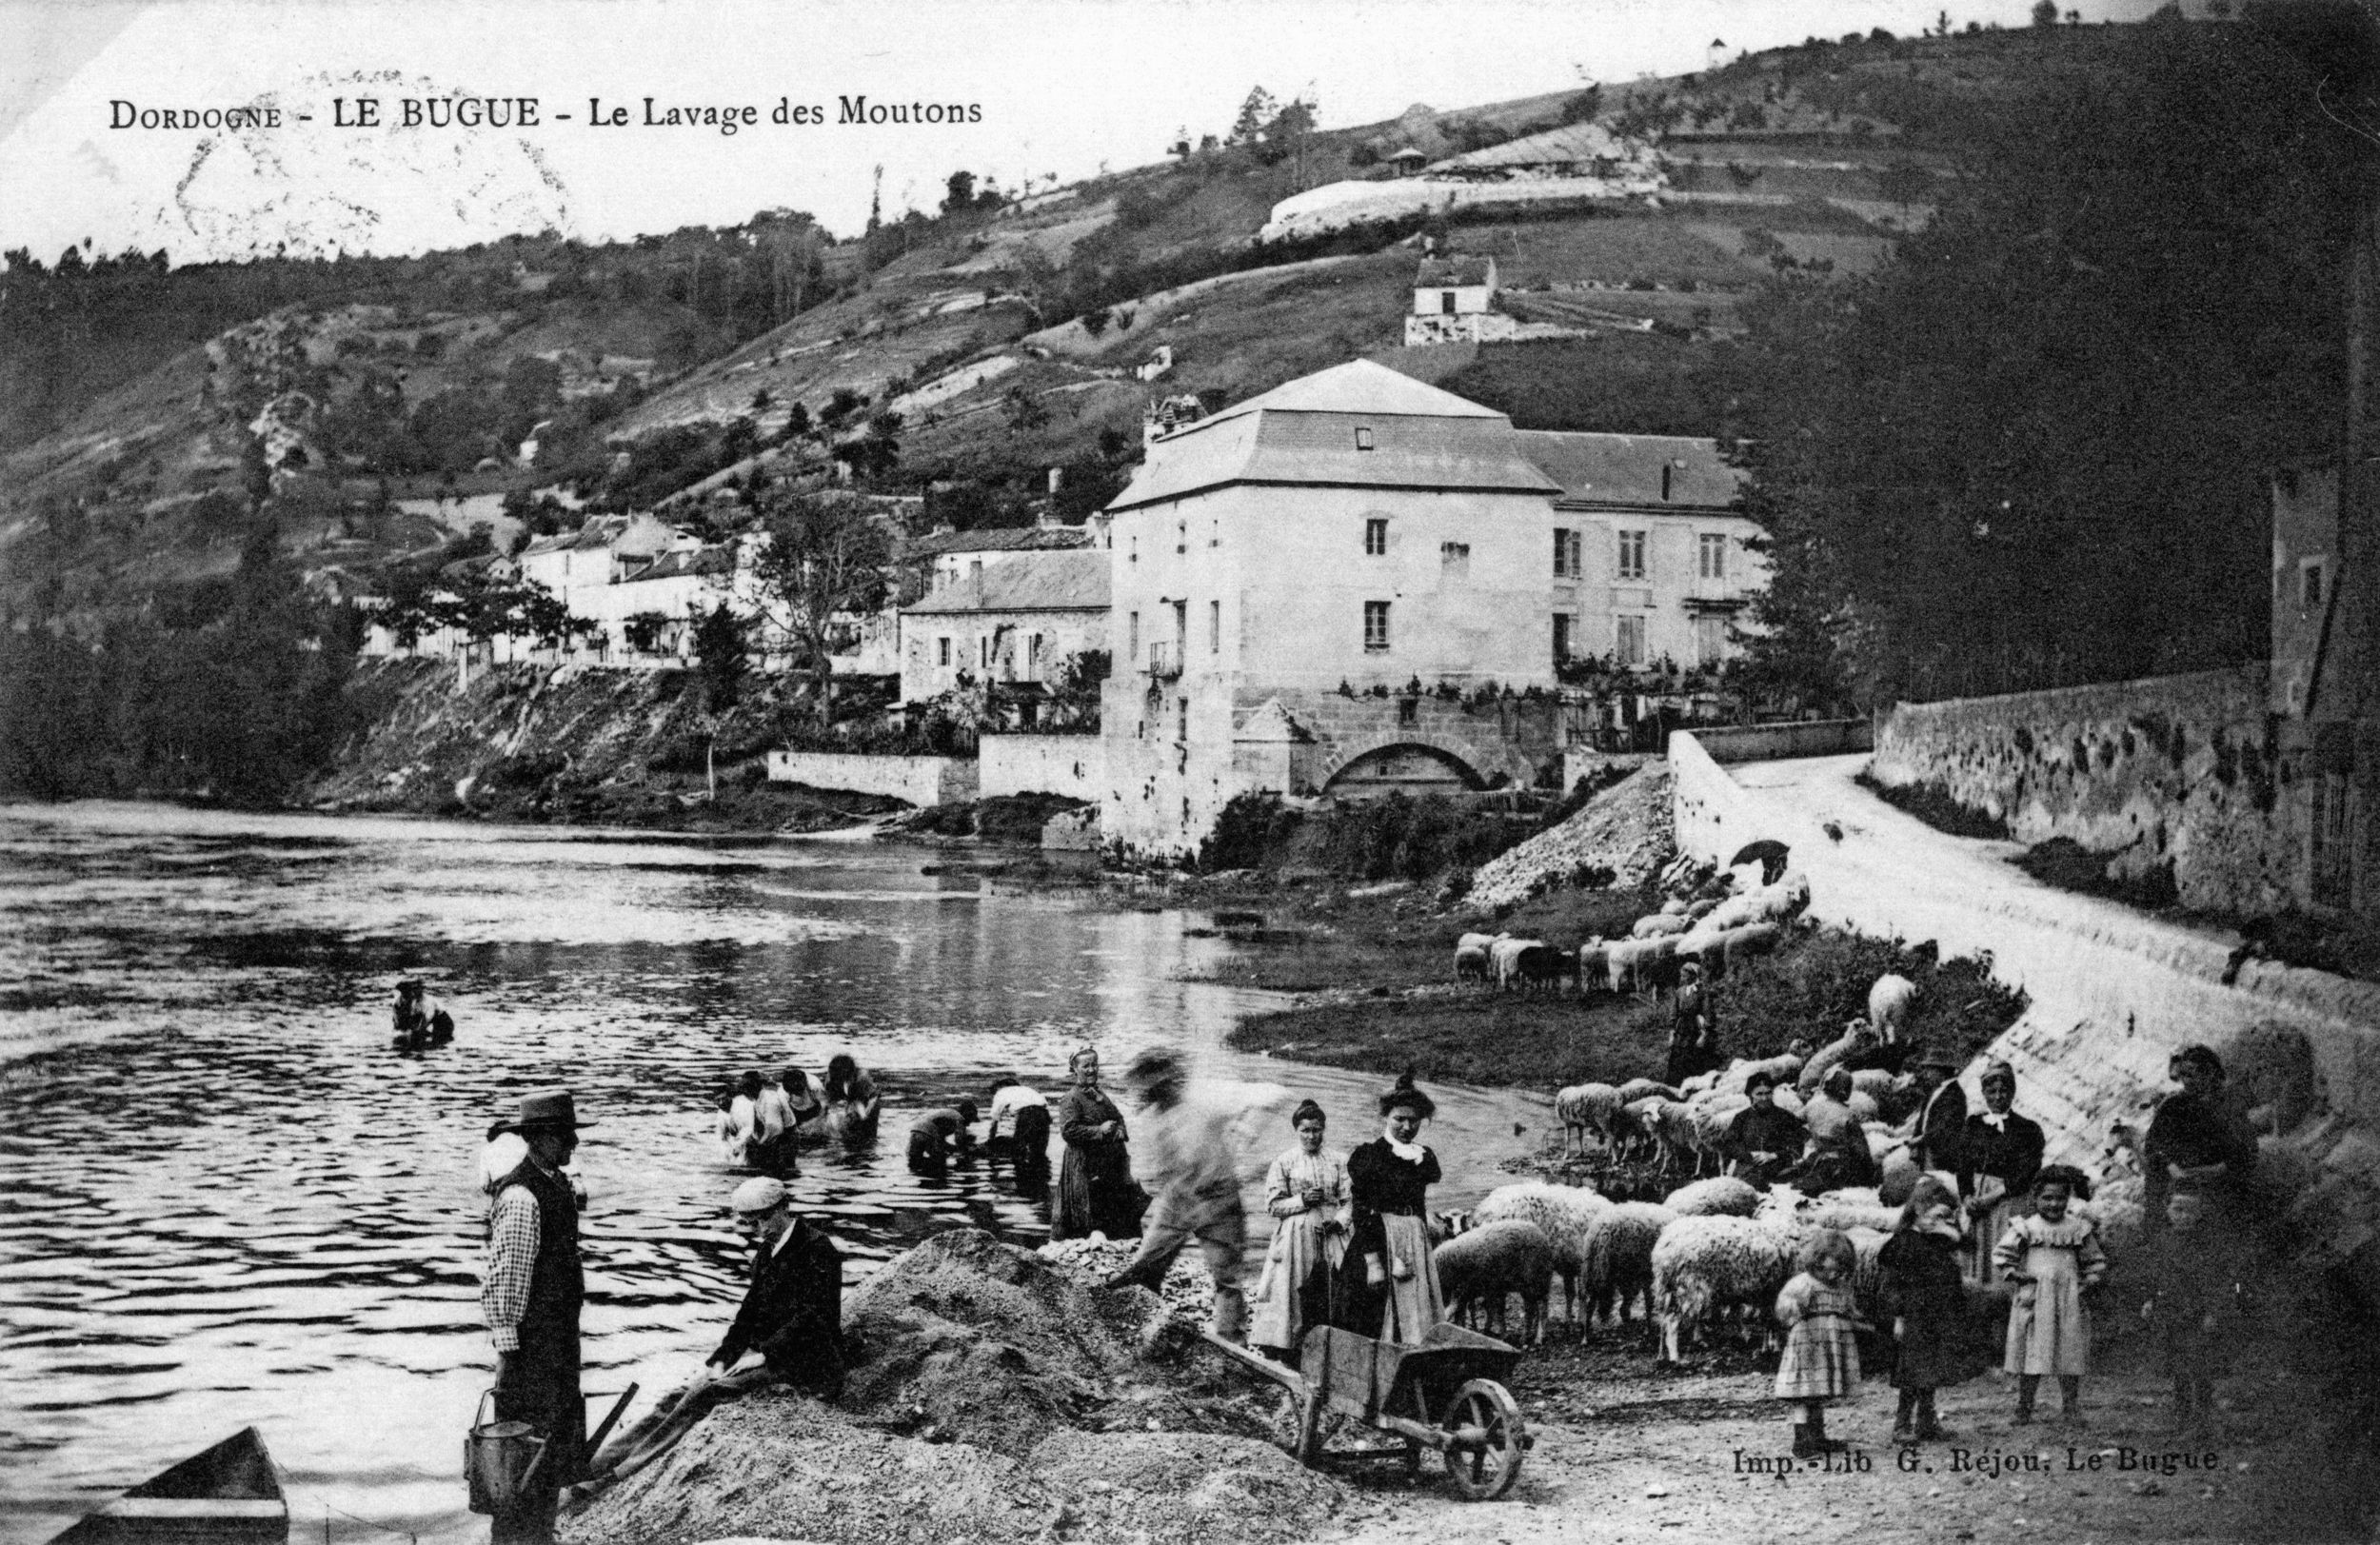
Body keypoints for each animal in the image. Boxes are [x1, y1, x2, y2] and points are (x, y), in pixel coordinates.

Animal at [1428, 1218, 1561, 1333]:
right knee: (1534, 1308)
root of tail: (1542, 1235)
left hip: (1538, 1279)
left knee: (1542, 1308)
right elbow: (1464, 1313)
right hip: (1529, 1286)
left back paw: (1538, 1337)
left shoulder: (1469, 1289)